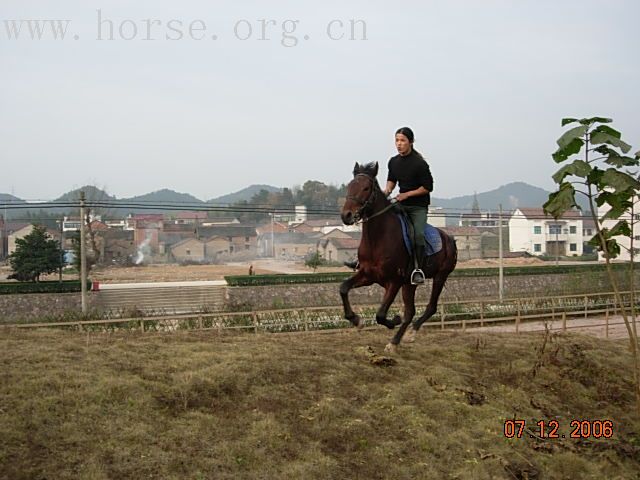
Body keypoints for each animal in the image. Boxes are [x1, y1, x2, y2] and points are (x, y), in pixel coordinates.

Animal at [340, 161, 456, 352]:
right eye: (350, 186)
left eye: (366, 188)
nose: (346, 215)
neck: (378, 238)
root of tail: (449, 238)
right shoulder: (367, 275)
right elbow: (343, 288)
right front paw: (356, 320)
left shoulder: (393, 281)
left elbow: (380, 314)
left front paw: (394, 320)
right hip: (410, 284)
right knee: (410, 312)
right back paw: (396, 340)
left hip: (440, 276)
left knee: (430, 307)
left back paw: (407, 335)